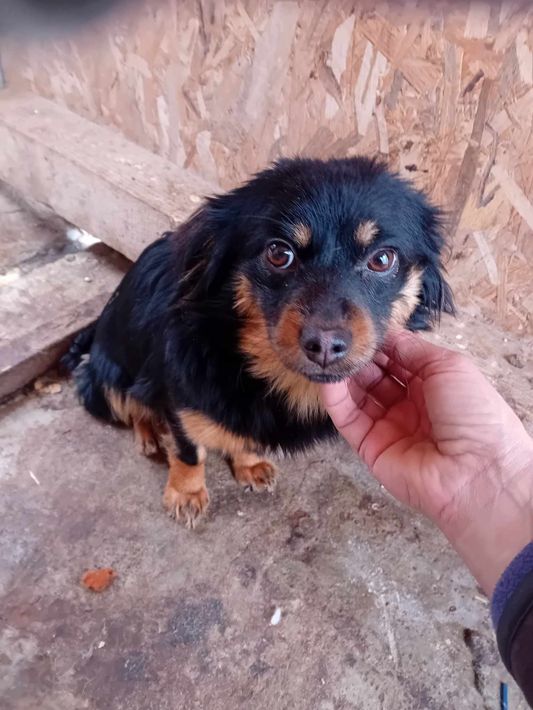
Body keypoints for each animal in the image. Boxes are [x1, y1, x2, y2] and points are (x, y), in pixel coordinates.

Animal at [62, 157, 454, 527]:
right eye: (279, 253)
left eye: (383, 259)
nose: (326, 345)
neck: (264, 373)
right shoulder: (177, 398)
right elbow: (189, 451)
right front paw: (186, 493)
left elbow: (244, 439)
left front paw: (248, 464)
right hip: (107, 380)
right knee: (131, 405)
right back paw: (148, 433)